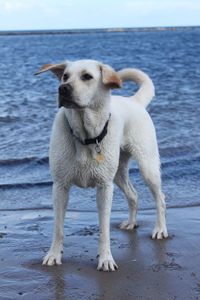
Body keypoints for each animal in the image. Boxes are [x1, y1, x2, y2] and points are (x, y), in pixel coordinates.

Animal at [35, 59, 168, 272]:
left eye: (87, 76)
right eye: (65, 76)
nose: (63, 89)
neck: (85, 136)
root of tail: (134, 100)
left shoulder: (104, 187)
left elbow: (104, 229)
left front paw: (105, 259)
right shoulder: (60, 187)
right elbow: (58, 228)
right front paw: (54, 255)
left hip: (147, 166)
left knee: (160, 198)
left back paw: (160, 229)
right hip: (118, 173)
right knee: (133, 195)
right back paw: (131, 223)